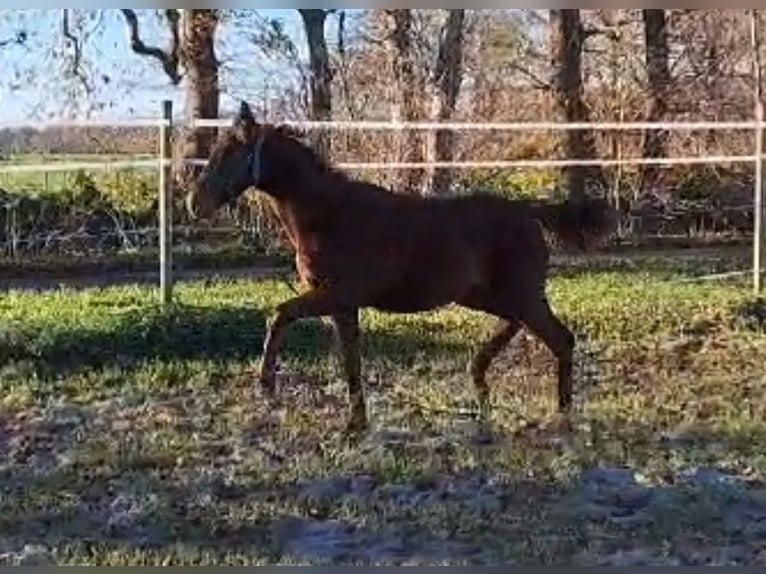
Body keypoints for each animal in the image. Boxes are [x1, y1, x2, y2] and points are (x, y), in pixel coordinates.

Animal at [184, 102, 616, 436]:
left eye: (231, 152)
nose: (194, 203)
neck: (330, 214)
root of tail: (530, 210)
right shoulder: (342, 305)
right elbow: (350, 360)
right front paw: (356, 424)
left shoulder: (336, 295)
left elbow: (280, 314)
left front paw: (267, 385)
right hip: (485, 296)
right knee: (520, 326)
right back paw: (480, 378)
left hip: (518, 294)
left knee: (560, 338)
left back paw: (561, 416)